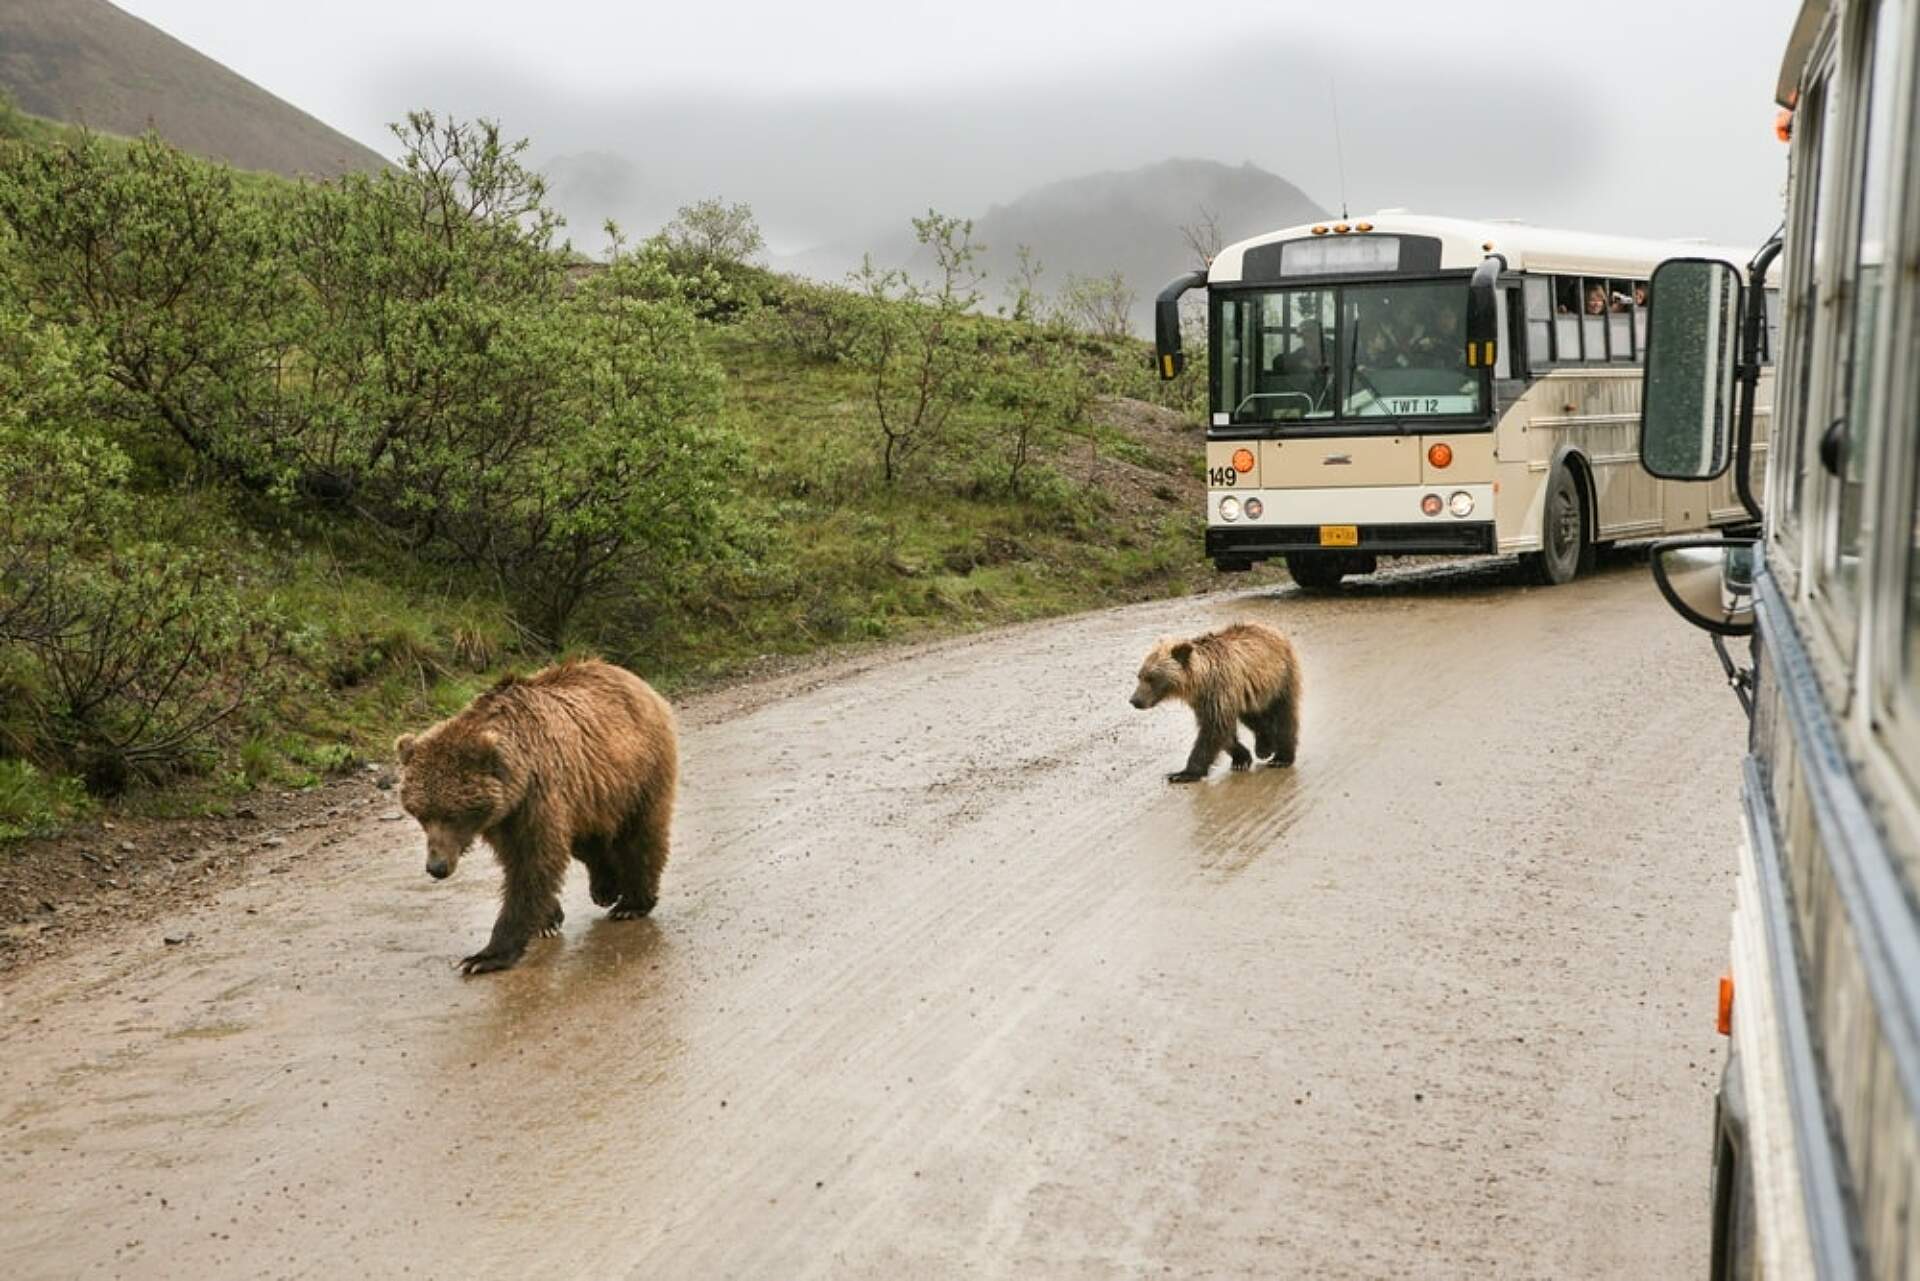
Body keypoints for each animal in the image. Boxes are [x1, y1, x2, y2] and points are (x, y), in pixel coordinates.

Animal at [393, 660, 679, 971]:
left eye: (451, 814)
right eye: (421, 814)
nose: (437, 866)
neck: (518, 777)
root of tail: (632, 677)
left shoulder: (537, 799)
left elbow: (533, 863)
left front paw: (486, 956)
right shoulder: (506, 817)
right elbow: (524, 860)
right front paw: (547, 921)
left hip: (638, 771)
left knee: (641, 833)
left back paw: (632, 904)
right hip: (590, 793)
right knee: (587, 842)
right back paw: (605, 887)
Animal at [1128, 622, 1297, 783]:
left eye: (1151, 678)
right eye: (1140, 676)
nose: (1134, 700)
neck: (1201, 681)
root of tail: (1272, 629)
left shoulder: (1219, 692)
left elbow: (1214, 730)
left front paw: (1183, 774)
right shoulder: (1205, 701)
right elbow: (1221, 730)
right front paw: (1241, 759)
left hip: (1280, 679)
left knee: (1284, 715)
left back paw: (1281, 758)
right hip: (1251, 692)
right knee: (1253, 716)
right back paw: (1264, 746)